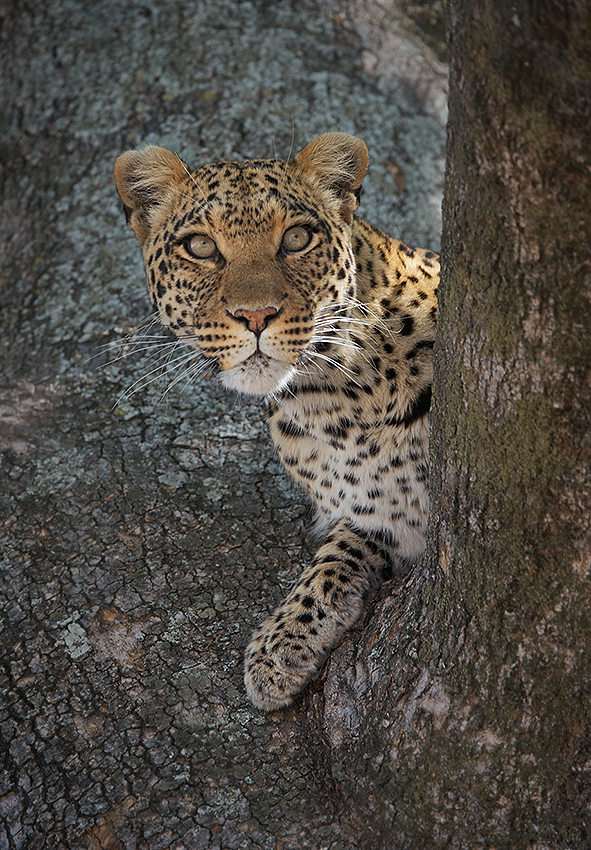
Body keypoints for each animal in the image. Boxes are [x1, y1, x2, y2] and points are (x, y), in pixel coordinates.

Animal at [114, 132, 440, 712]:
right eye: (201, 246)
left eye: (296, 238)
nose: (256, 315)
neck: (338, 403)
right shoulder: (385, 517)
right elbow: (330, 563)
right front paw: (279, 646)